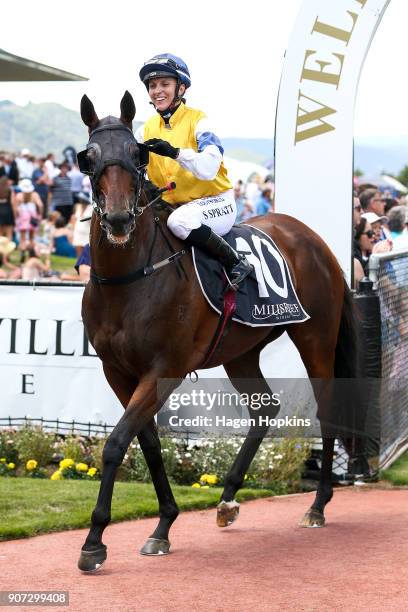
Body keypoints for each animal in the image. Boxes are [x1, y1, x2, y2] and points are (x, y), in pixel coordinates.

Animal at [75, 92, 356, 572]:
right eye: (88, 157)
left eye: (137, 153)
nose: (118, 220)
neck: (130, 279)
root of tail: (313, 238)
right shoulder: (118, 372)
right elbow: (147, 442)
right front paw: (164, 525)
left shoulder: (164, 369)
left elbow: (116, 442)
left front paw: (94, 540)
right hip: (242, 351)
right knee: (265, 409)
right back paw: (226, 499)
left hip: (316, 338)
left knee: (328, 410)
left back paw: (317, 506)